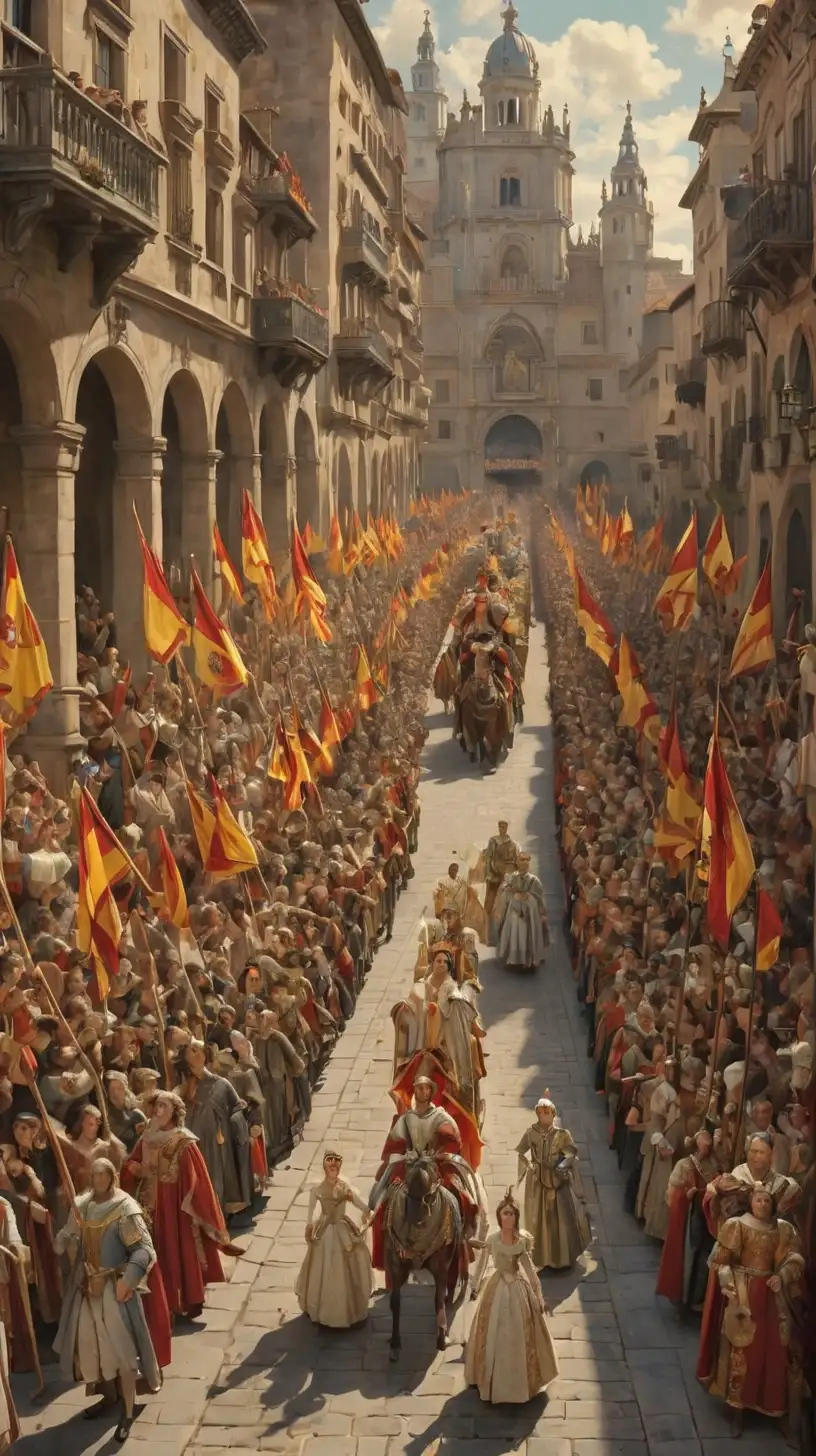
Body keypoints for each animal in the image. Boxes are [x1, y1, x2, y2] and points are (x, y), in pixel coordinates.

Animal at [381, 1153, 466, 1356]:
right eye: (408, 1164)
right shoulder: (395, 1263)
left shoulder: (442, 1265)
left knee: (450, 1286)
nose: (422, 1161)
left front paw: (441, 1336)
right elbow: (395, 1301)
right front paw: (395, 1342)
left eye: (434, 1166)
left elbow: (438, 1300)